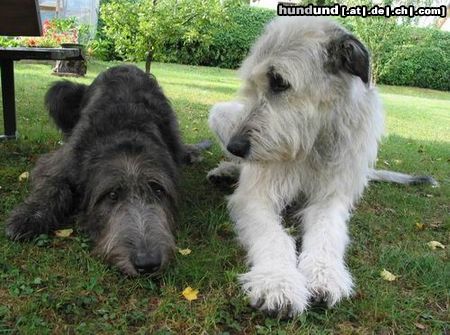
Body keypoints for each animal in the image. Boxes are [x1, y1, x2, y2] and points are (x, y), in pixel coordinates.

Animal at [5, 64, 206, 276]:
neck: (127, 129)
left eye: (158, 190)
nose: (148, 263)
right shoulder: (62, 160)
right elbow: (52, 185)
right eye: (112, 195)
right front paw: (29, 217)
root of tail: (125, 65)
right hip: (61, 96)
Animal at [207, 16, 436, 318]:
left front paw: (324, 275)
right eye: (252, 83)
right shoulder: (255, 197)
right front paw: (278, 282)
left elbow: (328, 232)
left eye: (279, 82)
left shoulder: (330, 198)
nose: (236, 146)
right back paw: (228, 170)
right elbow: (274, 235)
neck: (311, 143)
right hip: (221, 114)